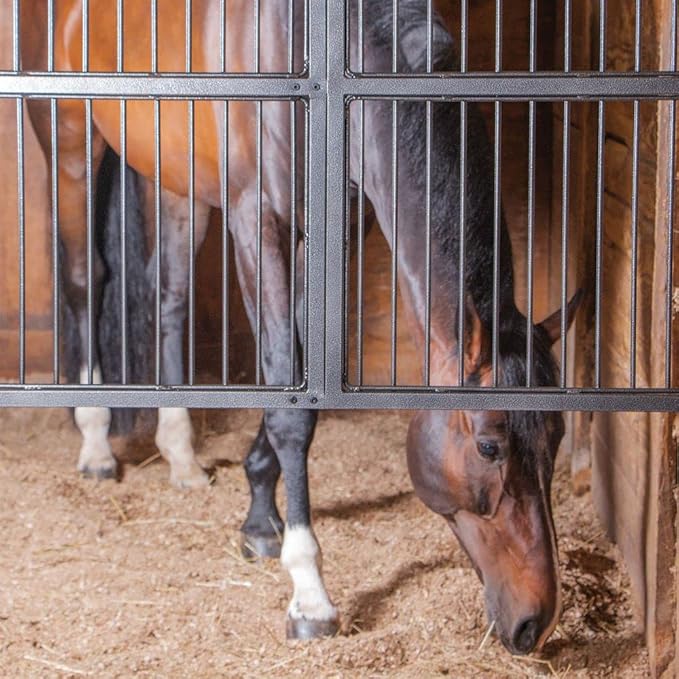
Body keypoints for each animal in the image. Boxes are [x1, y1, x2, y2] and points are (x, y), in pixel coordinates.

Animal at [20, 0, 580, 655]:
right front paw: (309, 591)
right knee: (86, 279)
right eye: (489, 445)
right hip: (70, 146)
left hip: (171, 175)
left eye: (556, 438)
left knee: (169, 297)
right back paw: (95, 446)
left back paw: (181, 457)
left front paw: (261, 515)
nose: (535, 620)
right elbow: (288, 396)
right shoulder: (257, 225)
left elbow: (300, 378)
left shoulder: (338, 230)